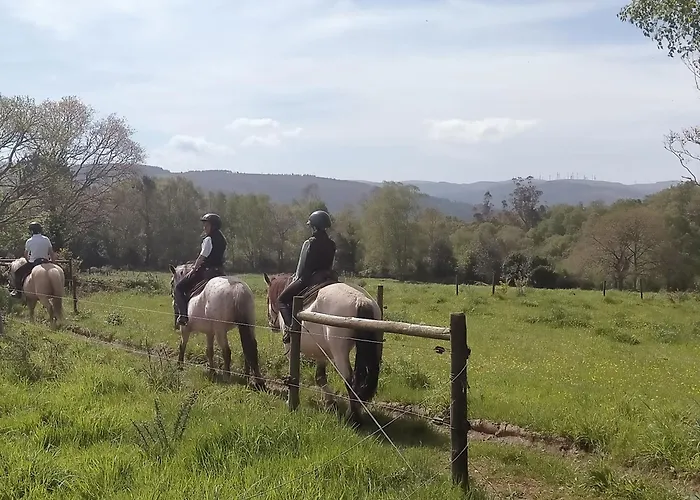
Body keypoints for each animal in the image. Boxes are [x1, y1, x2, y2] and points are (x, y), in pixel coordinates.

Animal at [263, 272, 383, 424]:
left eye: (268, 298)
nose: (271, 325)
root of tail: (360, 301)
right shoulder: (322, 353)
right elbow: (320, 377)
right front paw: (330, 403)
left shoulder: (289, 347)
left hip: (339, 353)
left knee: (351, 381)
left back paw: (352, 417)